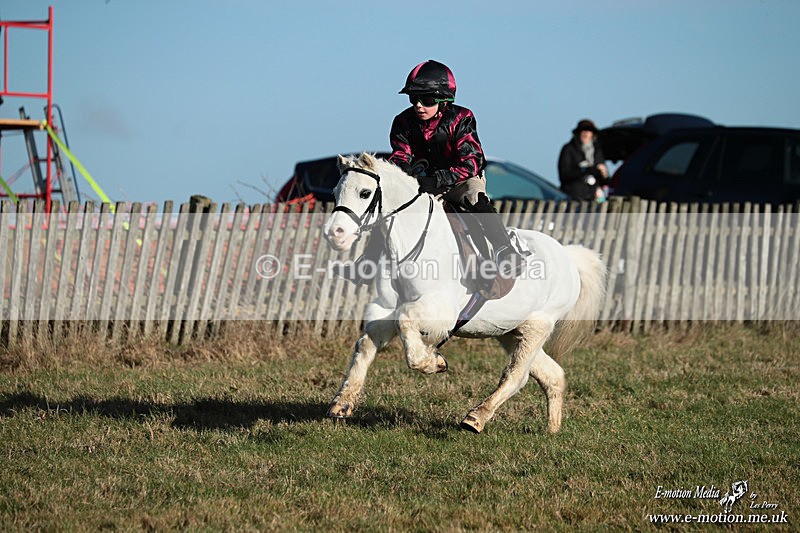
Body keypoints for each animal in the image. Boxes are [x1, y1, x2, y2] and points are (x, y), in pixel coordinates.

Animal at [322, 153, 606, 433]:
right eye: (335, 191)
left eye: (365, 193)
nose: (334, 234)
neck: (411, 242)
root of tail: (567, 256)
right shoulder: (384, 309)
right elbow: (366, 344)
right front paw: (342, 403)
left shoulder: (441, 309)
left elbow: (406, 322)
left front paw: (433, 362)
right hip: (510, 331)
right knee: (552, 375)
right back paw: (552, 429)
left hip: (538, 326)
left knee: (517, 375)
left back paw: (475, 418)